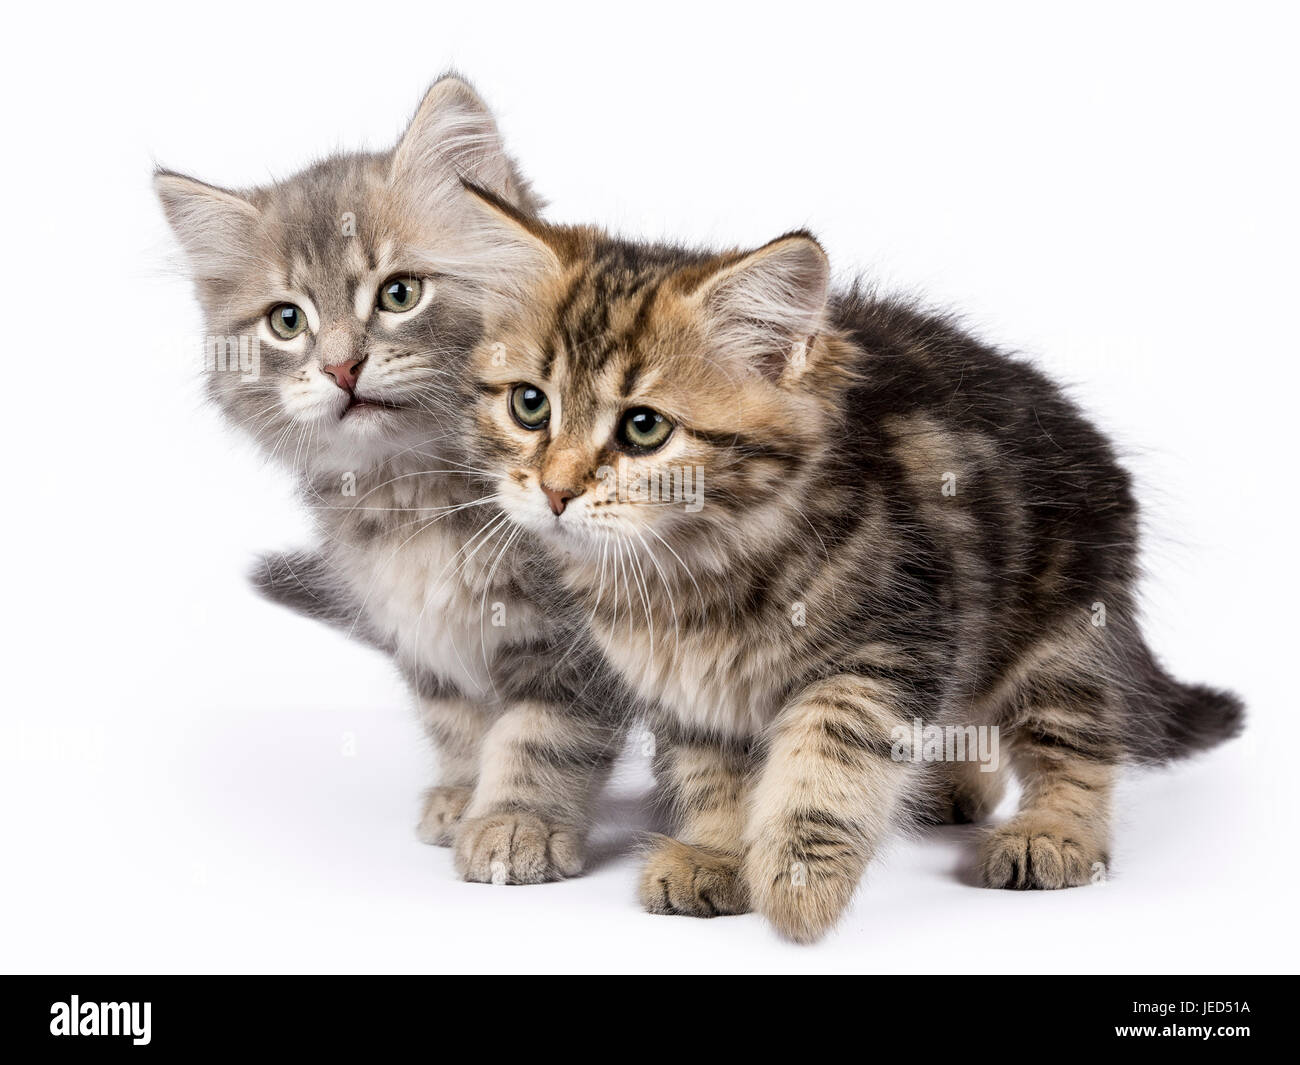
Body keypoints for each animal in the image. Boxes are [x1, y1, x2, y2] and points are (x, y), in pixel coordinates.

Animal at [152, 75, 629, 889]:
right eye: (287, 321)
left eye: (400, 293)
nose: (342, 366)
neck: (415, 493)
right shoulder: (416, 632)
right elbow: (460, 721)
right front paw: (464, 796)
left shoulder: (577, 635)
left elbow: (544, 731)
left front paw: (516, 822)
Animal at [454, 189, 1237, 941]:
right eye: (530, 405)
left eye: (644, 427)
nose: (555, 490)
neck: (695, 571)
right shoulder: (693, 698)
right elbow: (717, 782)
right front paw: (716, 853)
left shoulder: (886, 649)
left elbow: (826, 765)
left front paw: (800, 887)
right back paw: (950, 788)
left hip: (1067, 630)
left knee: (1076, 745)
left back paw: (1051, 834)